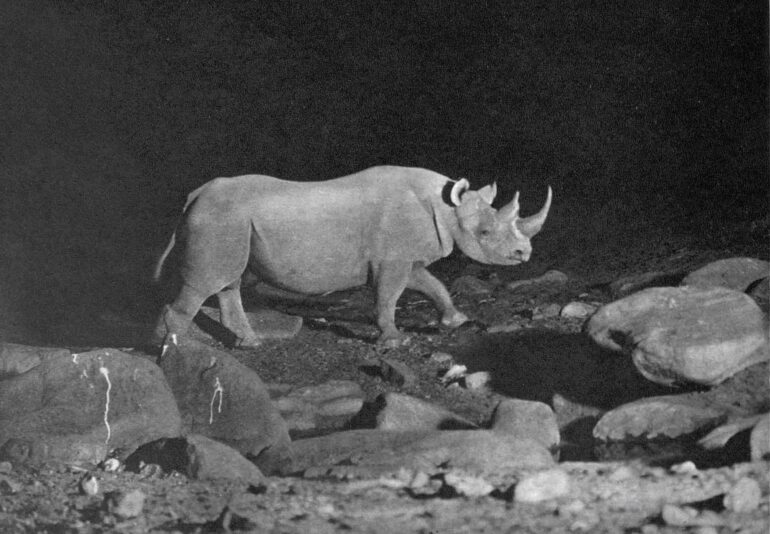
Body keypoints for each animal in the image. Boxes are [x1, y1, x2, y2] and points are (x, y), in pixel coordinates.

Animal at [152, 166, 551, 347]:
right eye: (485, 234)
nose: (524, 253)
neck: (445, 206)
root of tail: (194, 195)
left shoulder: (404, 255)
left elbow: (431, 283)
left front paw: (455, 320)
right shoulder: (393, 257)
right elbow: (390, 295)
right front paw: (393, 338)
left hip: (230, 222)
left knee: (227, 281)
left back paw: (250, 344)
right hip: (221, 219)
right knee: (207, 283)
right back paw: (176, 349)